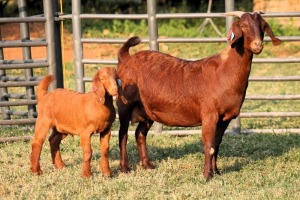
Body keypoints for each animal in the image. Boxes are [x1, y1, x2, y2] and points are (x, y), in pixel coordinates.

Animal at [116, 10, 282, 180]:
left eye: (262, 25)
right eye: (243, 25)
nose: (258, 45)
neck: (224, 71)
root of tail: (126, 58)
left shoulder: (225, 118)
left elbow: (216, 144)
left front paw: (217, 172)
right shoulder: (209, 114)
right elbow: (208, 145)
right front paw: (207, 175)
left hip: (147, 111)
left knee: (140, 133)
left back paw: (147, 165)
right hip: (124, 105)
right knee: (123, 134)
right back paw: (125, 168)